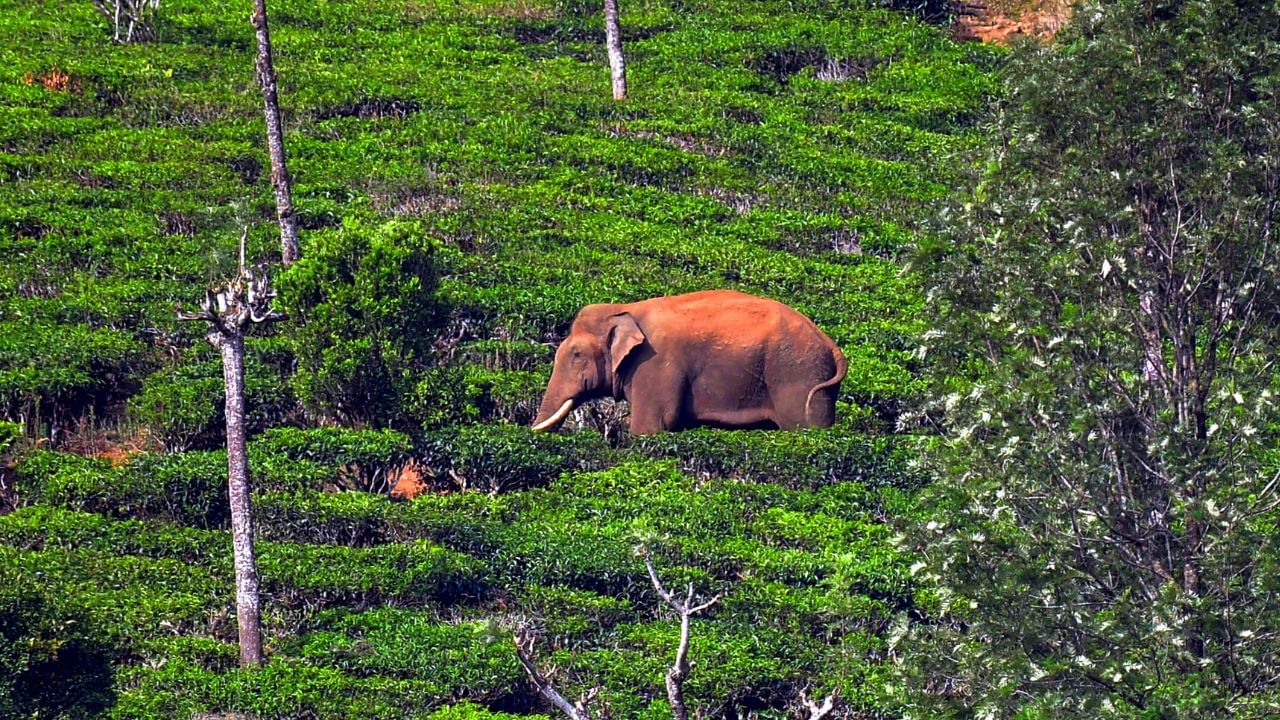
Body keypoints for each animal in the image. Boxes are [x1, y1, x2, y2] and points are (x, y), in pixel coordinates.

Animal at [529, 288, 849, 435]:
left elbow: (651, 426)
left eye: (576, 354)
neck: (624, 308)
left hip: (798, 375)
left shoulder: (655, 365)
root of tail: (832, 345)